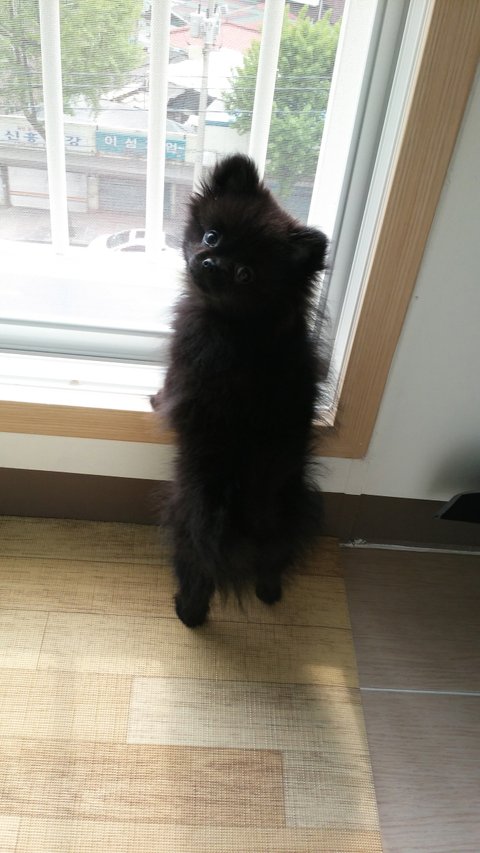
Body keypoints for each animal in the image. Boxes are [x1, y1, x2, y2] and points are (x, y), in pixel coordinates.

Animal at [151, 154, 328, 627]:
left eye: (246, 274)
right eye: (212, 235)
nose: (211, 262)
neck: (249, 322)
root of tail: (250, 507)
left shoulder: (184, 360)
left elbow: (168, 393)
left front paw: (154, 401)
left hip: (185, 519)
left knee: (196, 573)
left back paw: (187, 612)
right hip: (287, 523)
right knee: (273, 566)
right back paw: (269, 593)